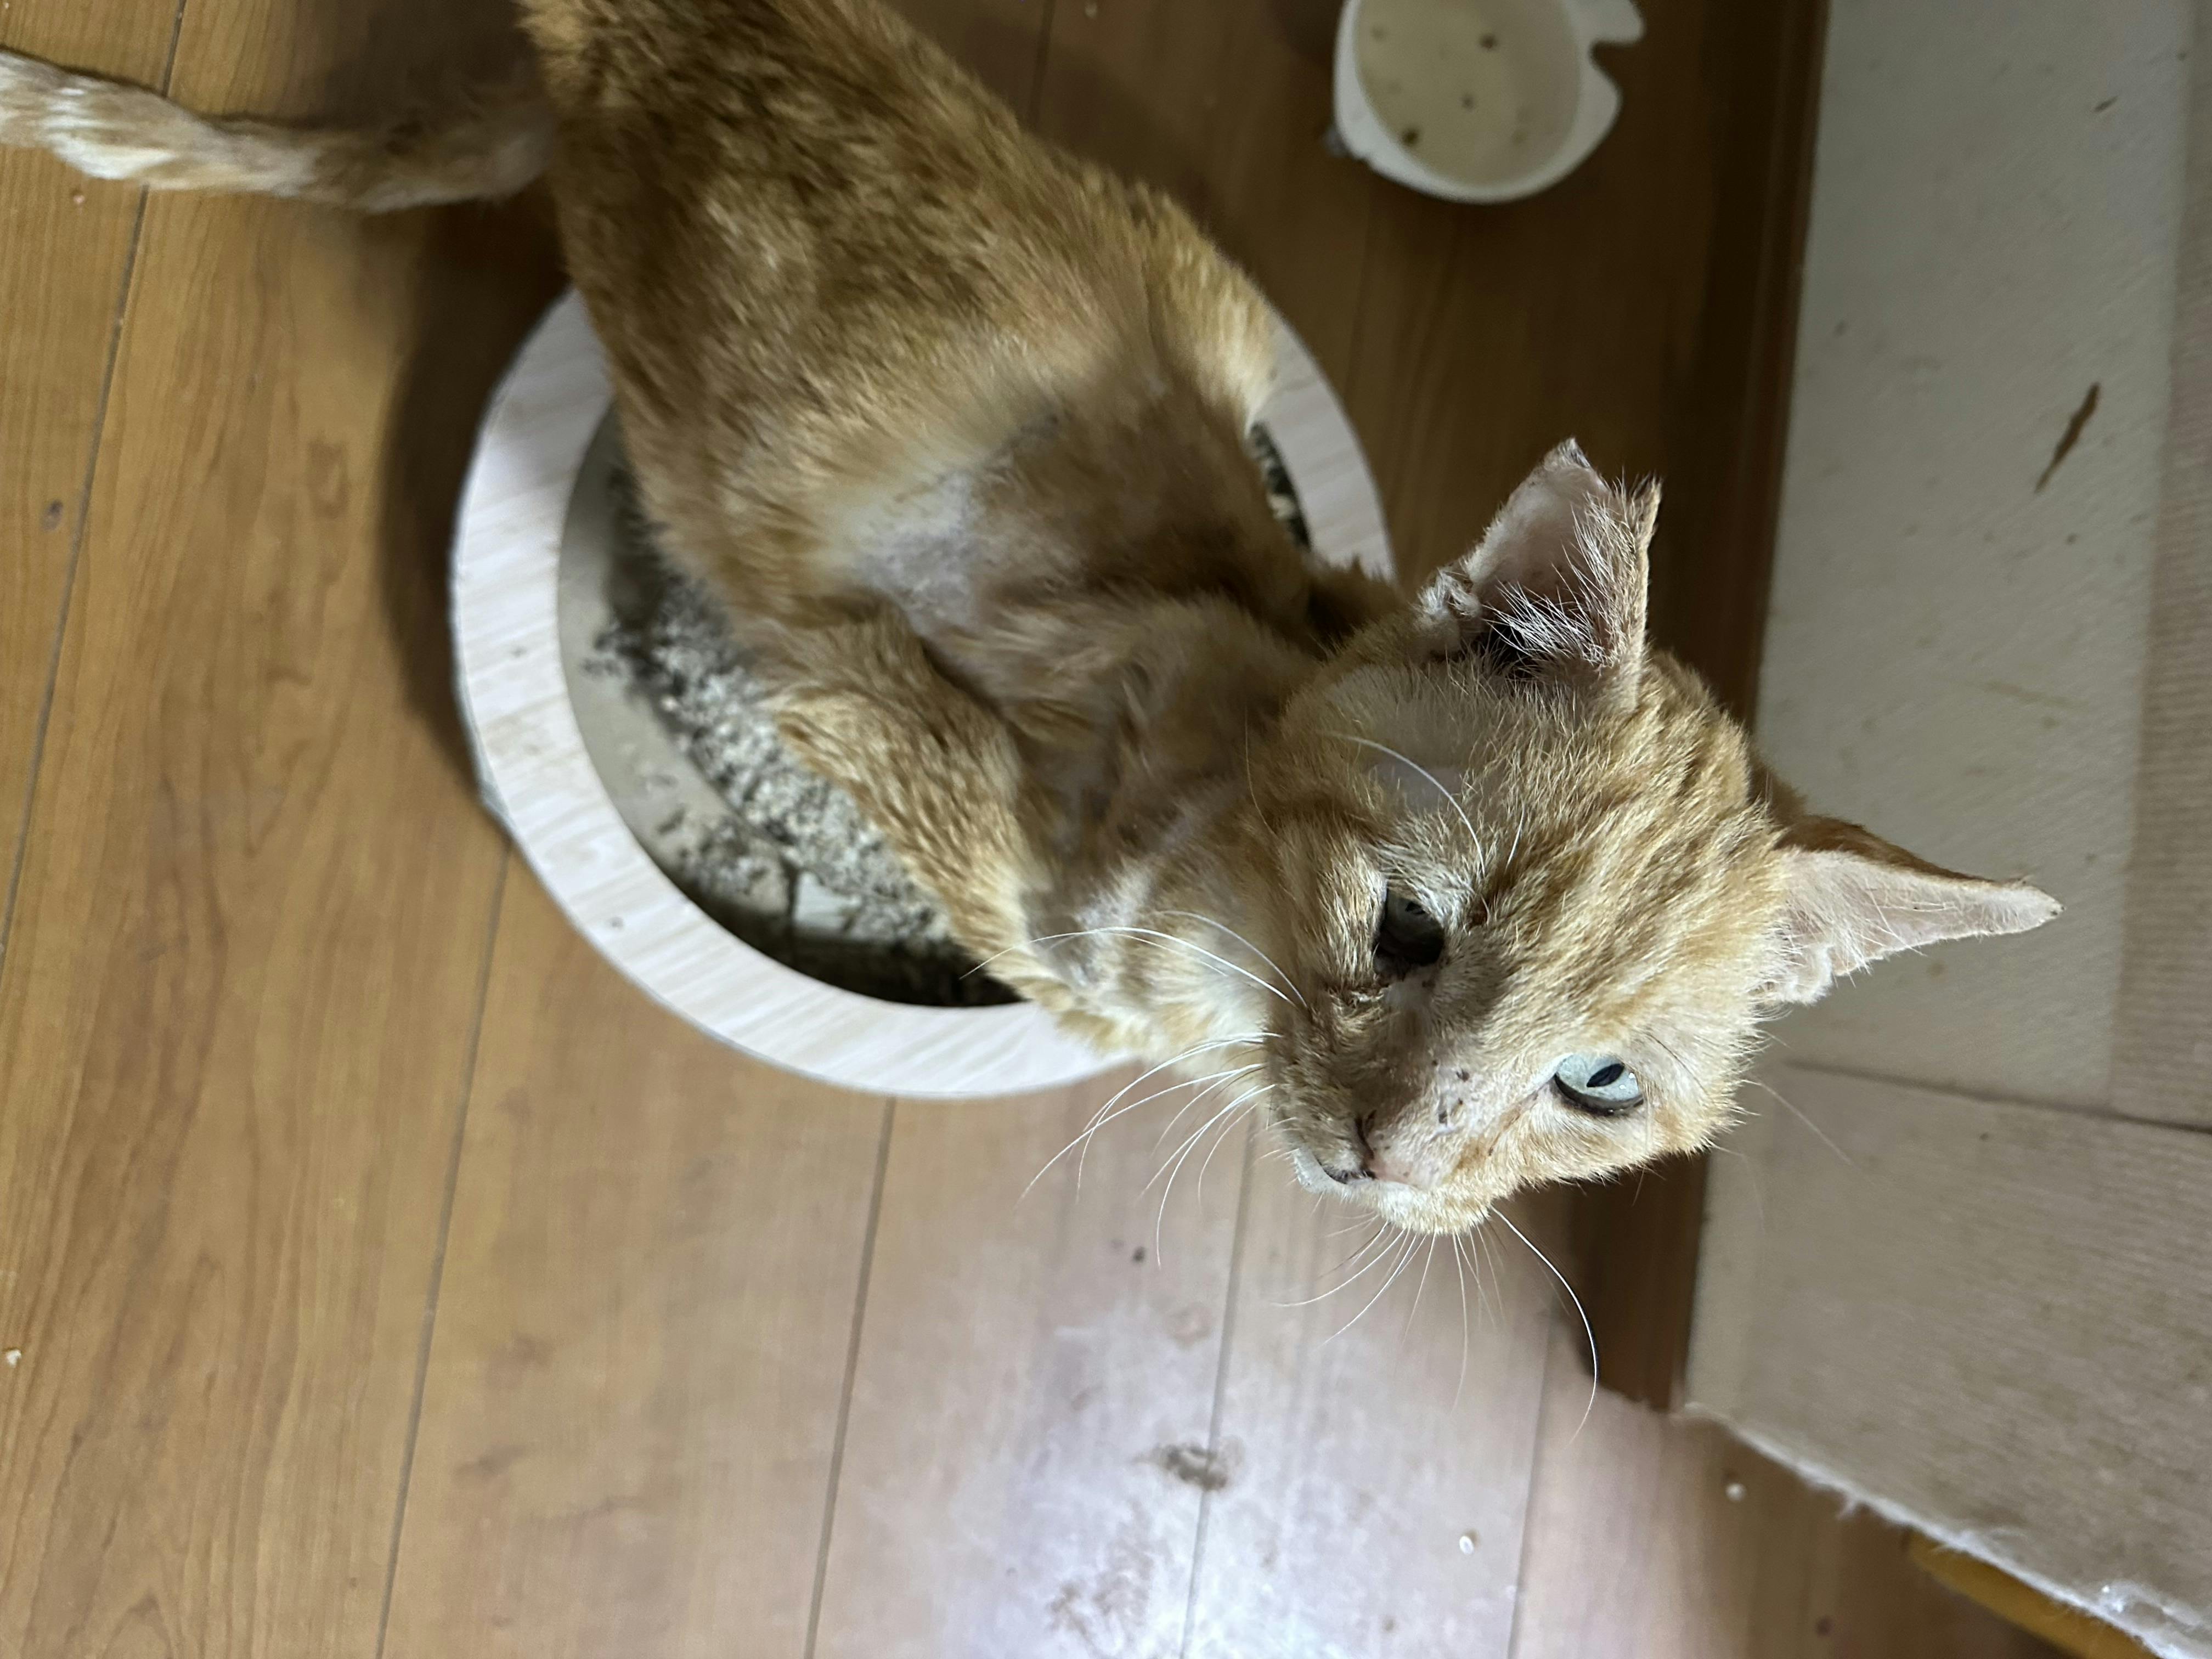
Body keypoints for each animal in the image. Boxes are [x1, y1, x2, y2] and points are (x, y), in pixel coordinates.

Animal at [0, 0, 2056, 1237]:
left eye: (1598, 1087)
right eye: (1406, 928)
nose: (1393, 1163)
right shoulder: (862, 706)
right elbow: (899, 732)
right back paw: (77, 113)